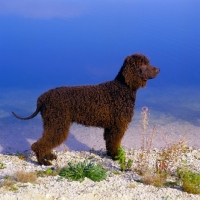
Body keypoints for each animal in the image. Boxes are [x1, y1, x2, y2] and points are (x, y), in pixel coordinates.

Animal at [12, 53, 159, 166]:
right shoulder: (118, 125)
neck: (123, 88)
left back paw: (48, 156)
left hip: (52, 123)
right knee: (41, 143)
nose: (158, 69)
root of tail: (43, 98)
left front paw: (110, 154)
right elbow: (115, 142)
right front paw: (116, 156)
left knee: (46, 140)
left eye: (148, 63)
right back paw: (43, 161)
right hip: (57, 123)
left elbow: (109, 141)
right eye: (143, 65)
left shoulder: (111, 127)